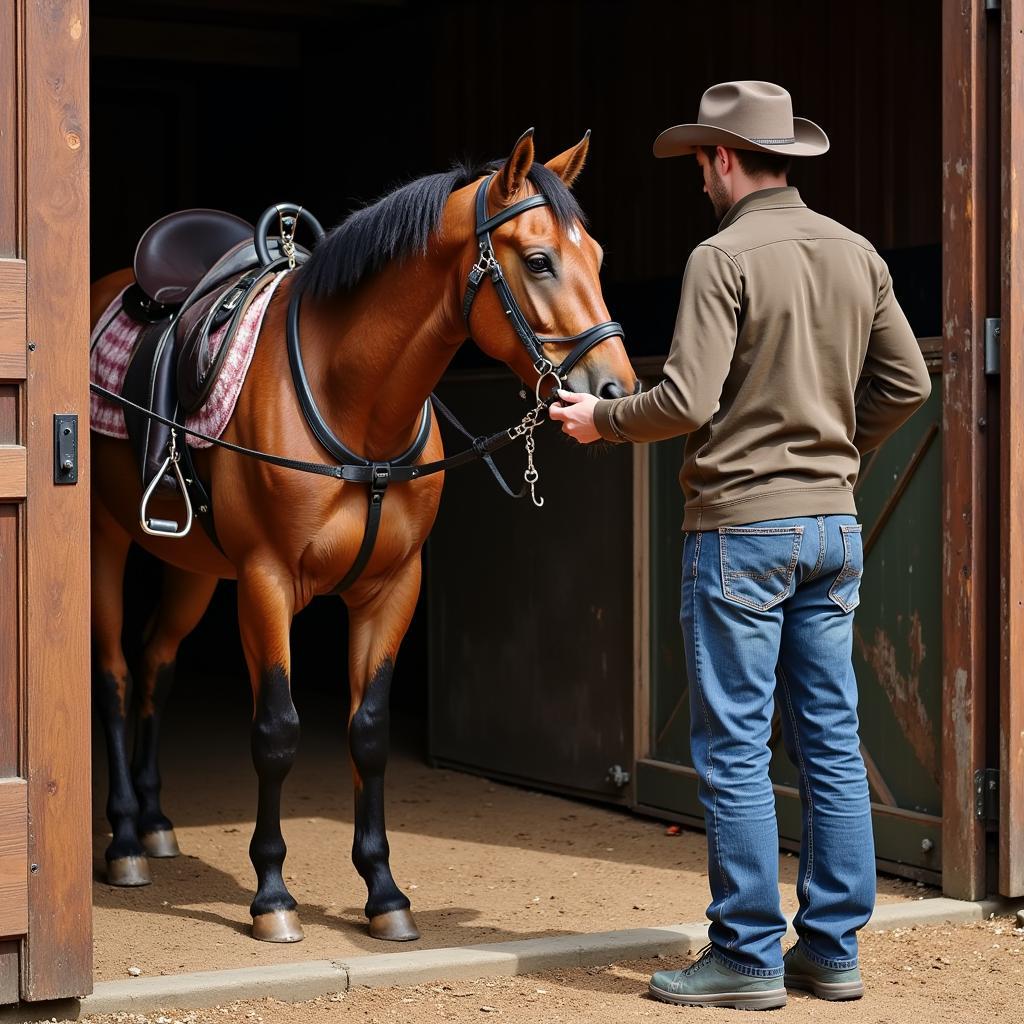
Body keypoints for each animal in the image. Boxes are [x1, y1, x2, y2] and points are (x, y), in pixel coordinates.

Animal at [90, 130, 630, 942]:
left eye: (594, 255)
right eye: (538, 260)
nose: (615, 390)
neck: (351, 400)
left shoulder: (391, 587)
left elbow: (368, 732)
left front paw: (384, 893)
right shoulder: (266, 582)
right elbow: (276, 730)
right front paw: (272, 896)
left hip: (194, 567)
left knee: (156, 662)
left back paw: (154, 824)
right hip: (104, 545)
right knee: (116, 675)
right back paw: (124, 839)